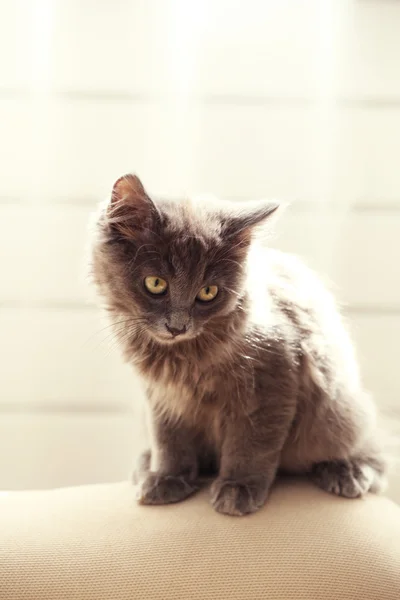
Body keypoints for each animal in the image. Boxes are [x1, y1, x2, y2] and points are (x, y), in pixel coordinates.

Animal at [89, 173, 386, 516]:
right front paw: (167, 478)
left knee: (373, 453)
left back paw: (347, 472)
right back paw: (145, 464)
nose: (178, 327)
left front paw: (238, 488)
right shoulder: (163, 397)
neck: (183, 357)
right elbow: (169, 440)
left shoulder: (269, 384)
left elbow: (250, 444)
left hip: (338, 412)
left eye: (208, 292)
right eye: (156, 284)